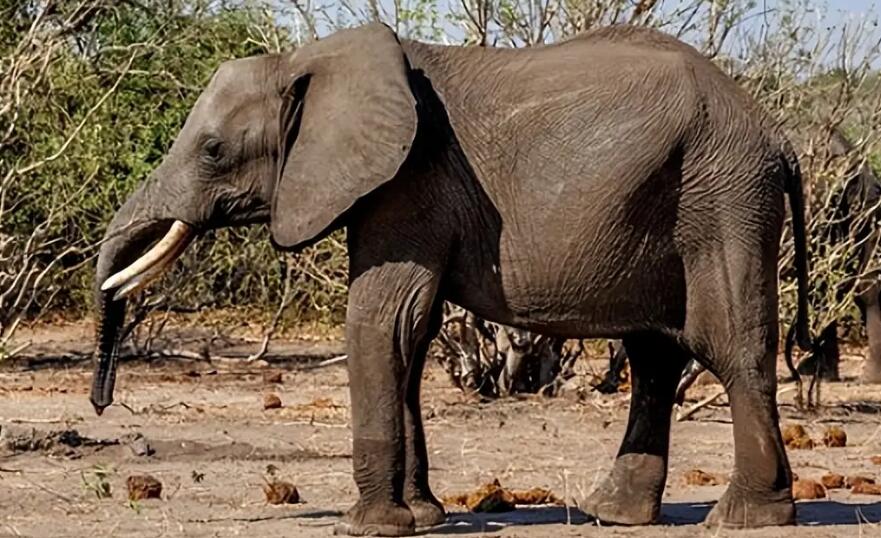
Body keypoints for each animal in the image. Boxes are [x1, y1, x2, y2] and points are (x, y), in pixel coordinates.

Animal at [90, 23, 812, 535]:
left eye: (214, 151)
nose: (101, 402)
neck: (310, 60)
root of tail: (778, 135)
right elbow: (411, 335)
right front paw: (424, 518)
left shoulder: (409, 181)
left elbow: (382, 320)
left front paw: (367, 528)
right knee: (654, 356)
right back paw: (613, 515)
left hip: (724, 199)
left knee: (727, 345)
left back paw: (743, 519)